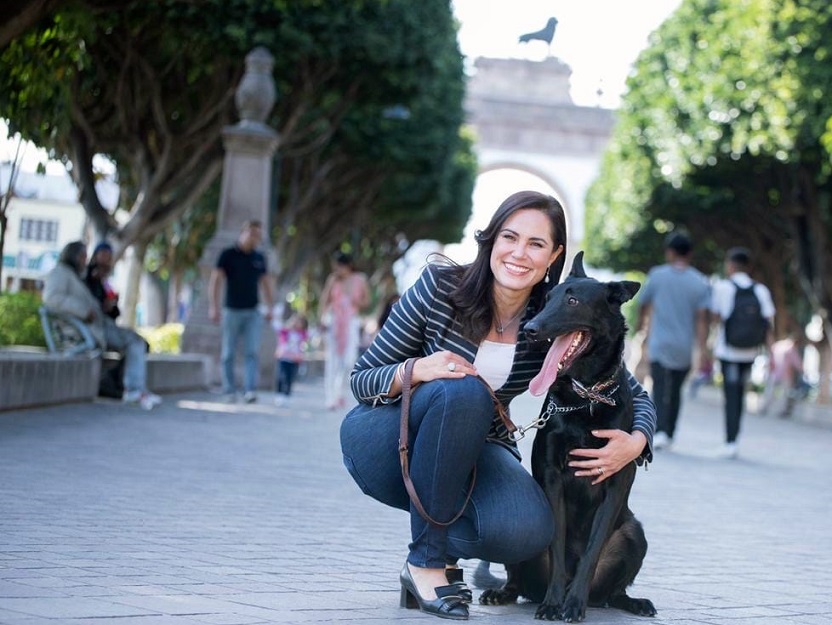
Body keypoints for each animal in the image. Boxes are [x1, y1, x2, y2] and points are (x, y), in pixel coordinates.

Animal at [480, 252, 656, 620]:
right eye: (547, 299)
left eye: (572, 301)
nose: (530, 330)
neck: (586, 397)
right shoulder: (551, 478)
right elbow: (558, 549)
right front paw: (554, 603)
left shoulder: (615, 483)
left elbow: (591, 552)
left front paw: (572, 604)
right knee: (518, 580)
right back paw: (505, 593)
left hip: (634, 533)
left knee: (613, 591)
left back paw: (630, 602)